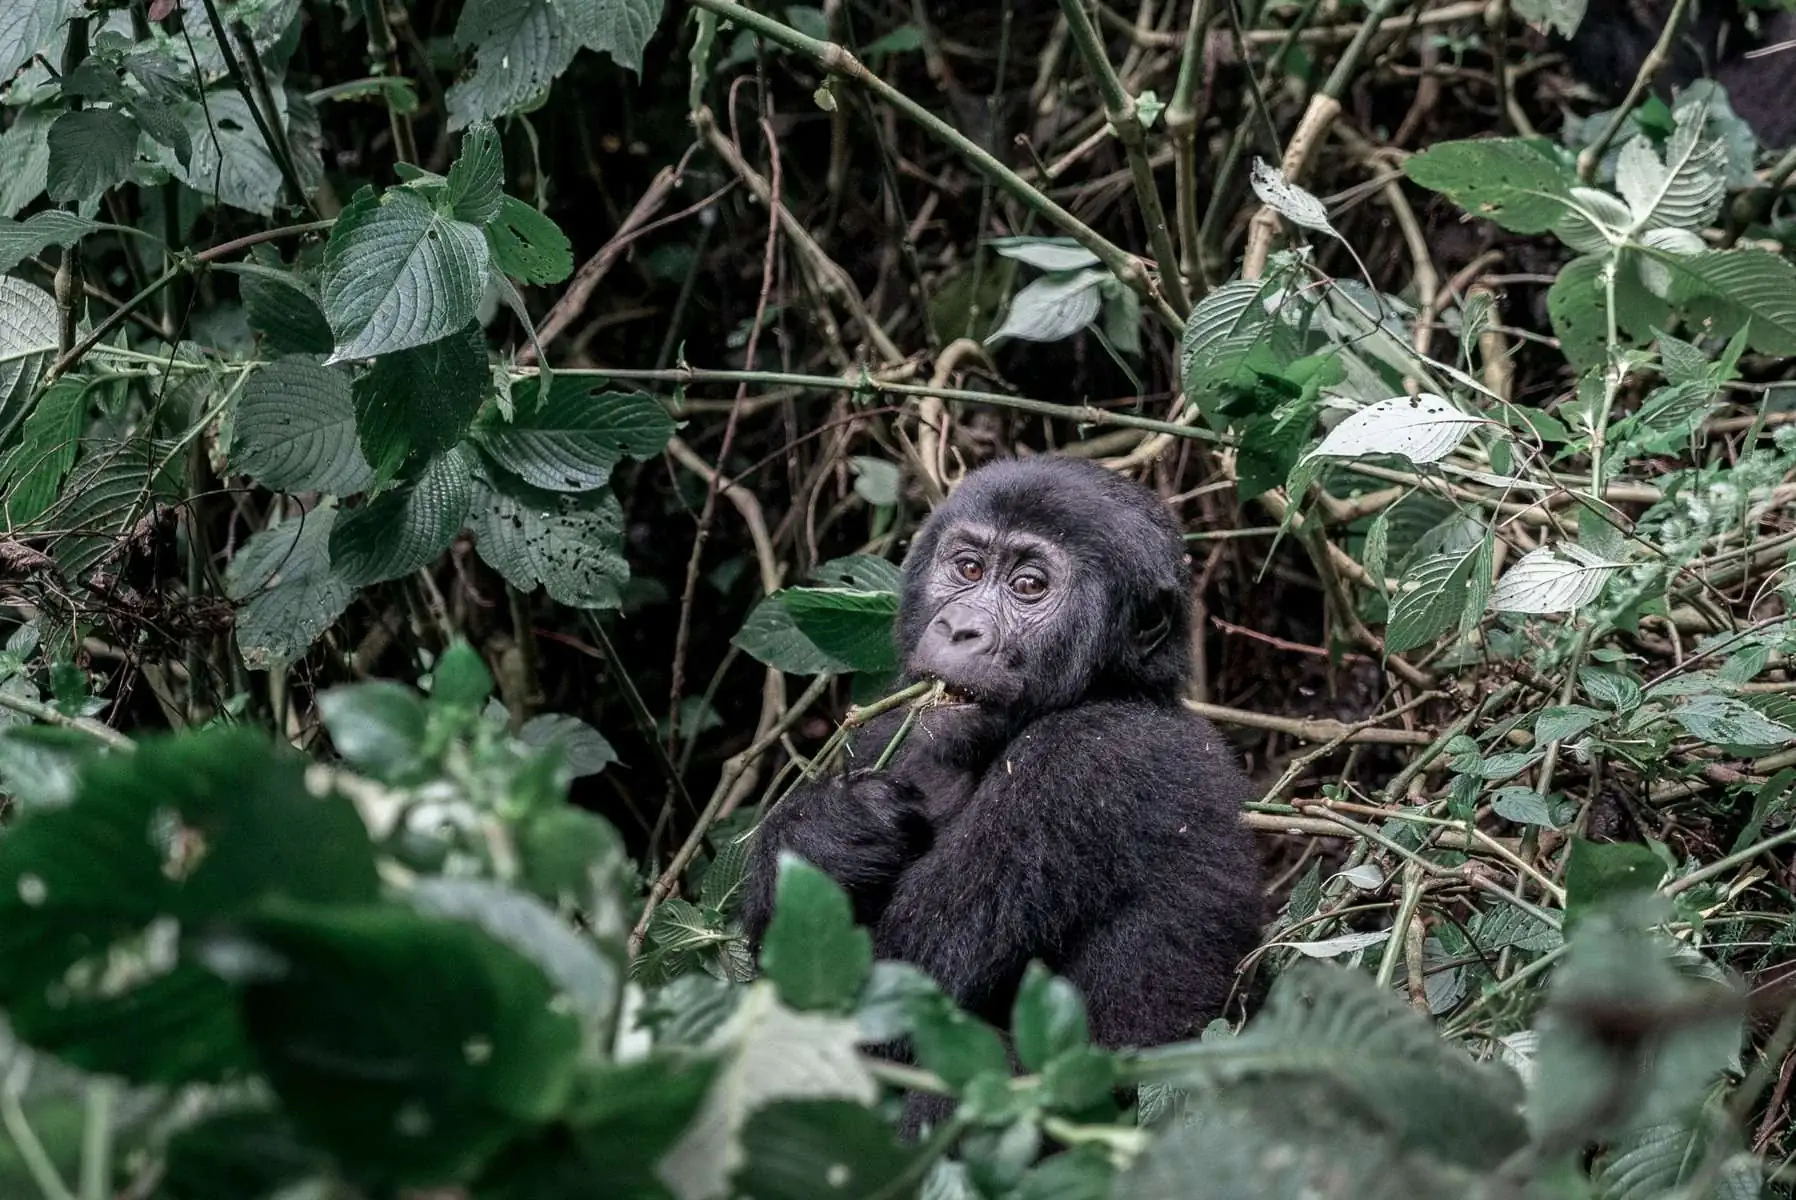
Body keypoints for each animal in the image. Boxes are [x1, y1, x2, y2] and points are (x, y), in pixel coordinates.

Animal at [736, 459, 1257, 1113]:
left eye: (1029, 585)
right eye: (968, 569)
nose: (959, 627)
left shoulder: (1085, 764)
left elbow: (881, 997)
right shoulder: (883, 727)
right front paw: (824, 830)